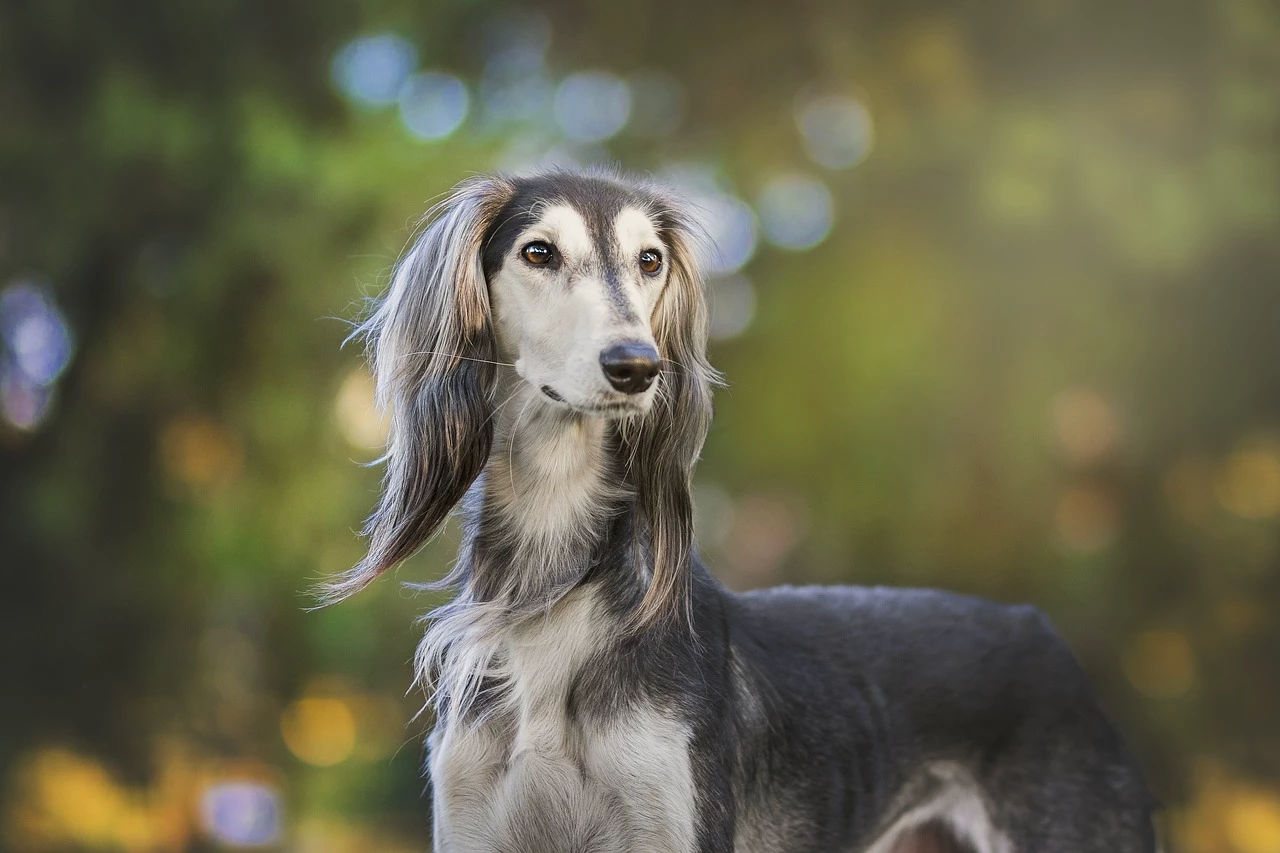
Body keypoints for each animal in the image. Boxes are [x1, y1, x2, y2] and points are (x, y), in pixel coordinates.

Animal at [324, 169, 1158, 852]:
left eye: (649, 260)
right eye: (538, 252)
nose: (637, 366)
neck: (557, 591)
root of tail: (1042, 631)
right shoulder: (476, 823)